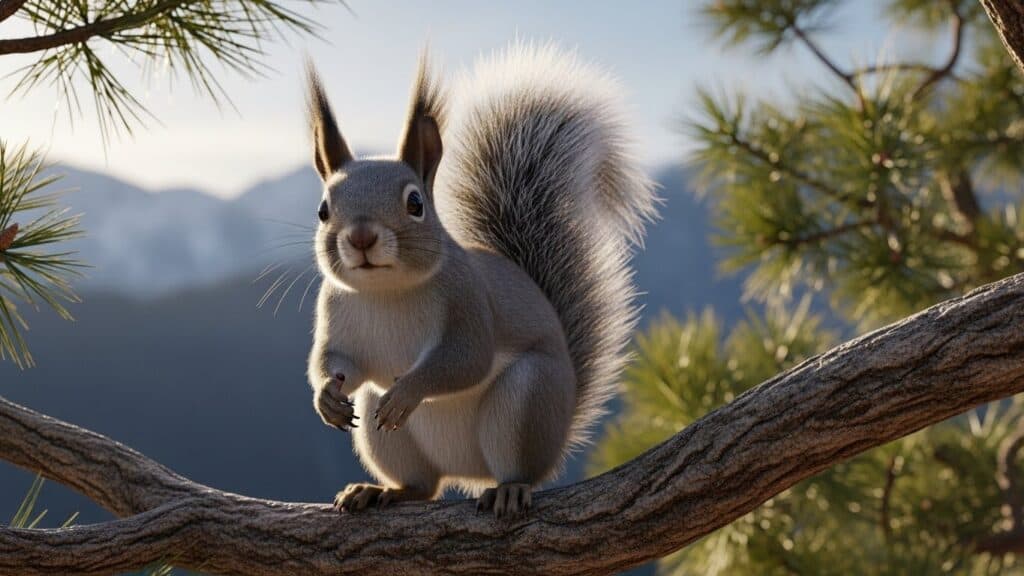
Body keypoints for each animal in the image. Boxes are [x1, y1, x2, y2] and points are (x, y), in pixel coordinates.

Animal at [305, 43, 656, 518]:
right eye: (324, 209)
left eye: (415, 203)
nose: (360, 237)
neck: (386, 292)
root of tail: (467, 471)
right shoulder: (334, 311)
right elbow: (333, 359)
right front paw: (326, 397)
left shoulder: (468, 301)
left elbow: (464, 361)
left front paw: (409, 391)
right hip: (387, 435)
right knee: (423, 485)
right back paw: (379, 490)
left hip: (524, 403)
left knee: (519, 469)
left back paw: (508, 489)